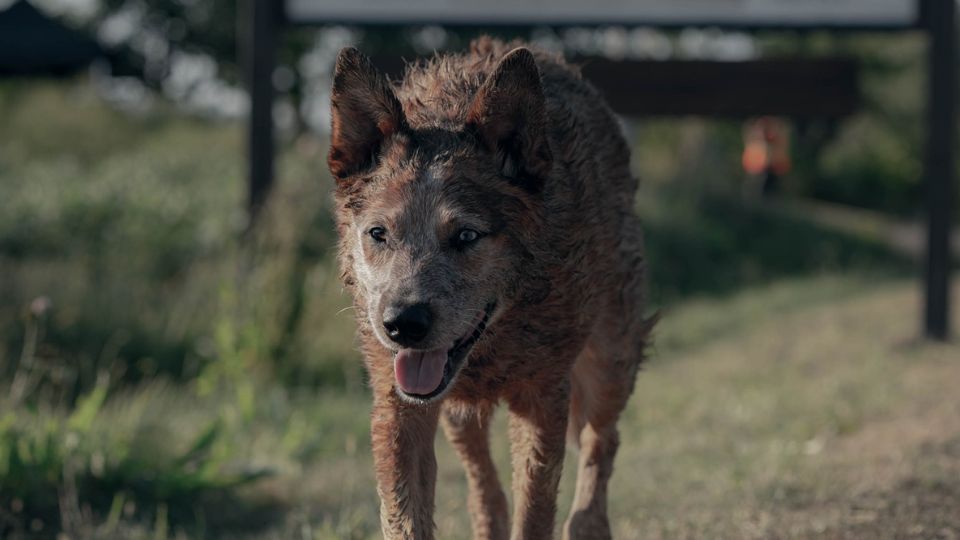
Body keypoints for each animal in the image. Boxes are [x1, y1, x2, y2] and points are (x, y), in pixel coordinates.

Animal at [328, 35, 652, 536]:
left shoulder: (542, 396)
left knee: (602, 439)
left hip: (611, 358)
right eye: (378, 234)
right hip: (458, 413)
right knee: (482, 479)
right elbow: (404, 516)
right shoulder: (398, 405)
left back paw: (588, 524)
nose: (402, 324)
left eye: (466, 236)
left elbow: (535, 511)